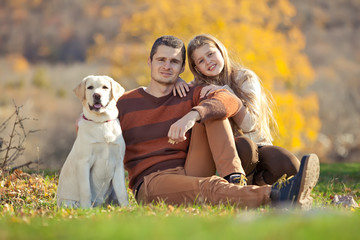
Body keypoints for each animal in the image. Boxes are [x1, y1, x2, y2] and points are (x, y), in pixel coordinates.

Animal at [57, 75, 129, 208]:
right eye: (90, 87)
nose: (96, 95)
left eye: (105, 87)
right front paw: (86, 209)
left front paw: (128, 208)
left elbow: (122, 192)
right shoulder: (84, 162)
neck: (101, 123)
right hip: (68, 202)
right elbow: (86, 191)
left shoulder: (118, 163)